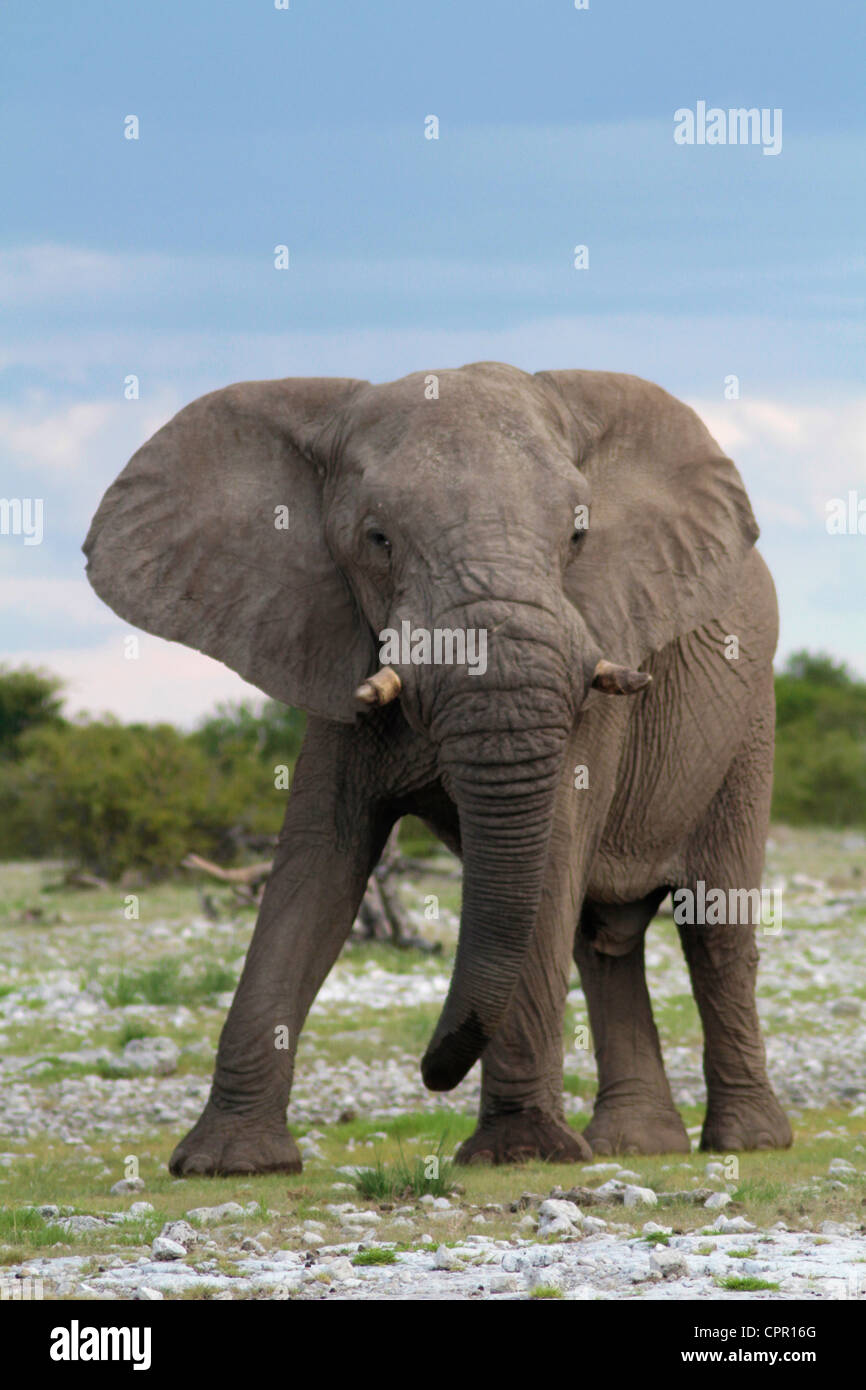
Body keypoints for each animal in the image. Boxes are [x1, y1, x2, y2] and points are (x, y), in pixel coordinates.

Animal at [83, 361, 792, 1173]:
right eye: (377, 539)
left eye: (578, 534)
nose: (431, 1073)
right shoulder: (332, 644)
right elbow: (316, 868)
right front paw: (229, 1162)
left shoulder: (598, 648)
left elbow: (551, 854)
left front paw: (520, 1153)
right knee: (600, 942)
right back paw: (635, 1145)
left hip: (751, 726)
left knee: (714, 930)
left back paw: (747, 1141)